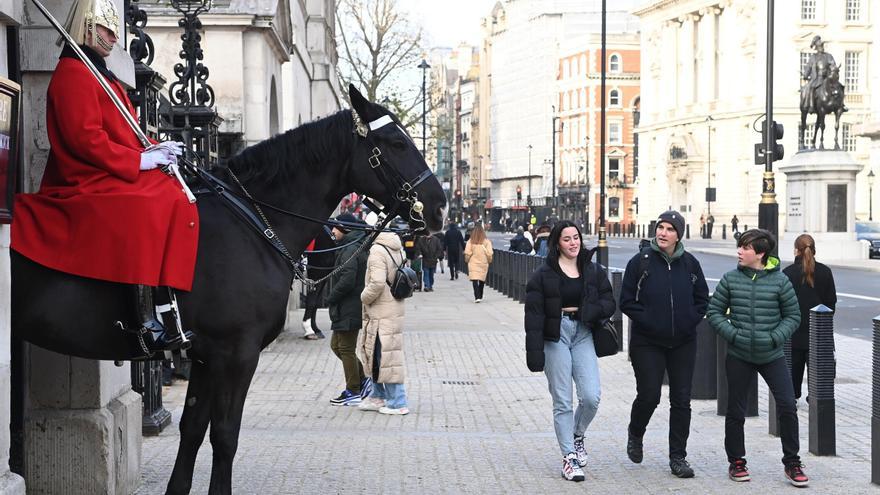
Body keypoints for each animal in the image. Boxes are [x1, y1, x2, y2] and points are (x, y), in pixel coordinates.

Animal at [10, 87, 444, 494]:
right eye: (398, 143)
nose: (439, 206)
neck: (253, 224)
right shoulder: (236, 354)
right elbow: (224, 434)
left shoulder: (205, 356)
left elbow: (192, 428)